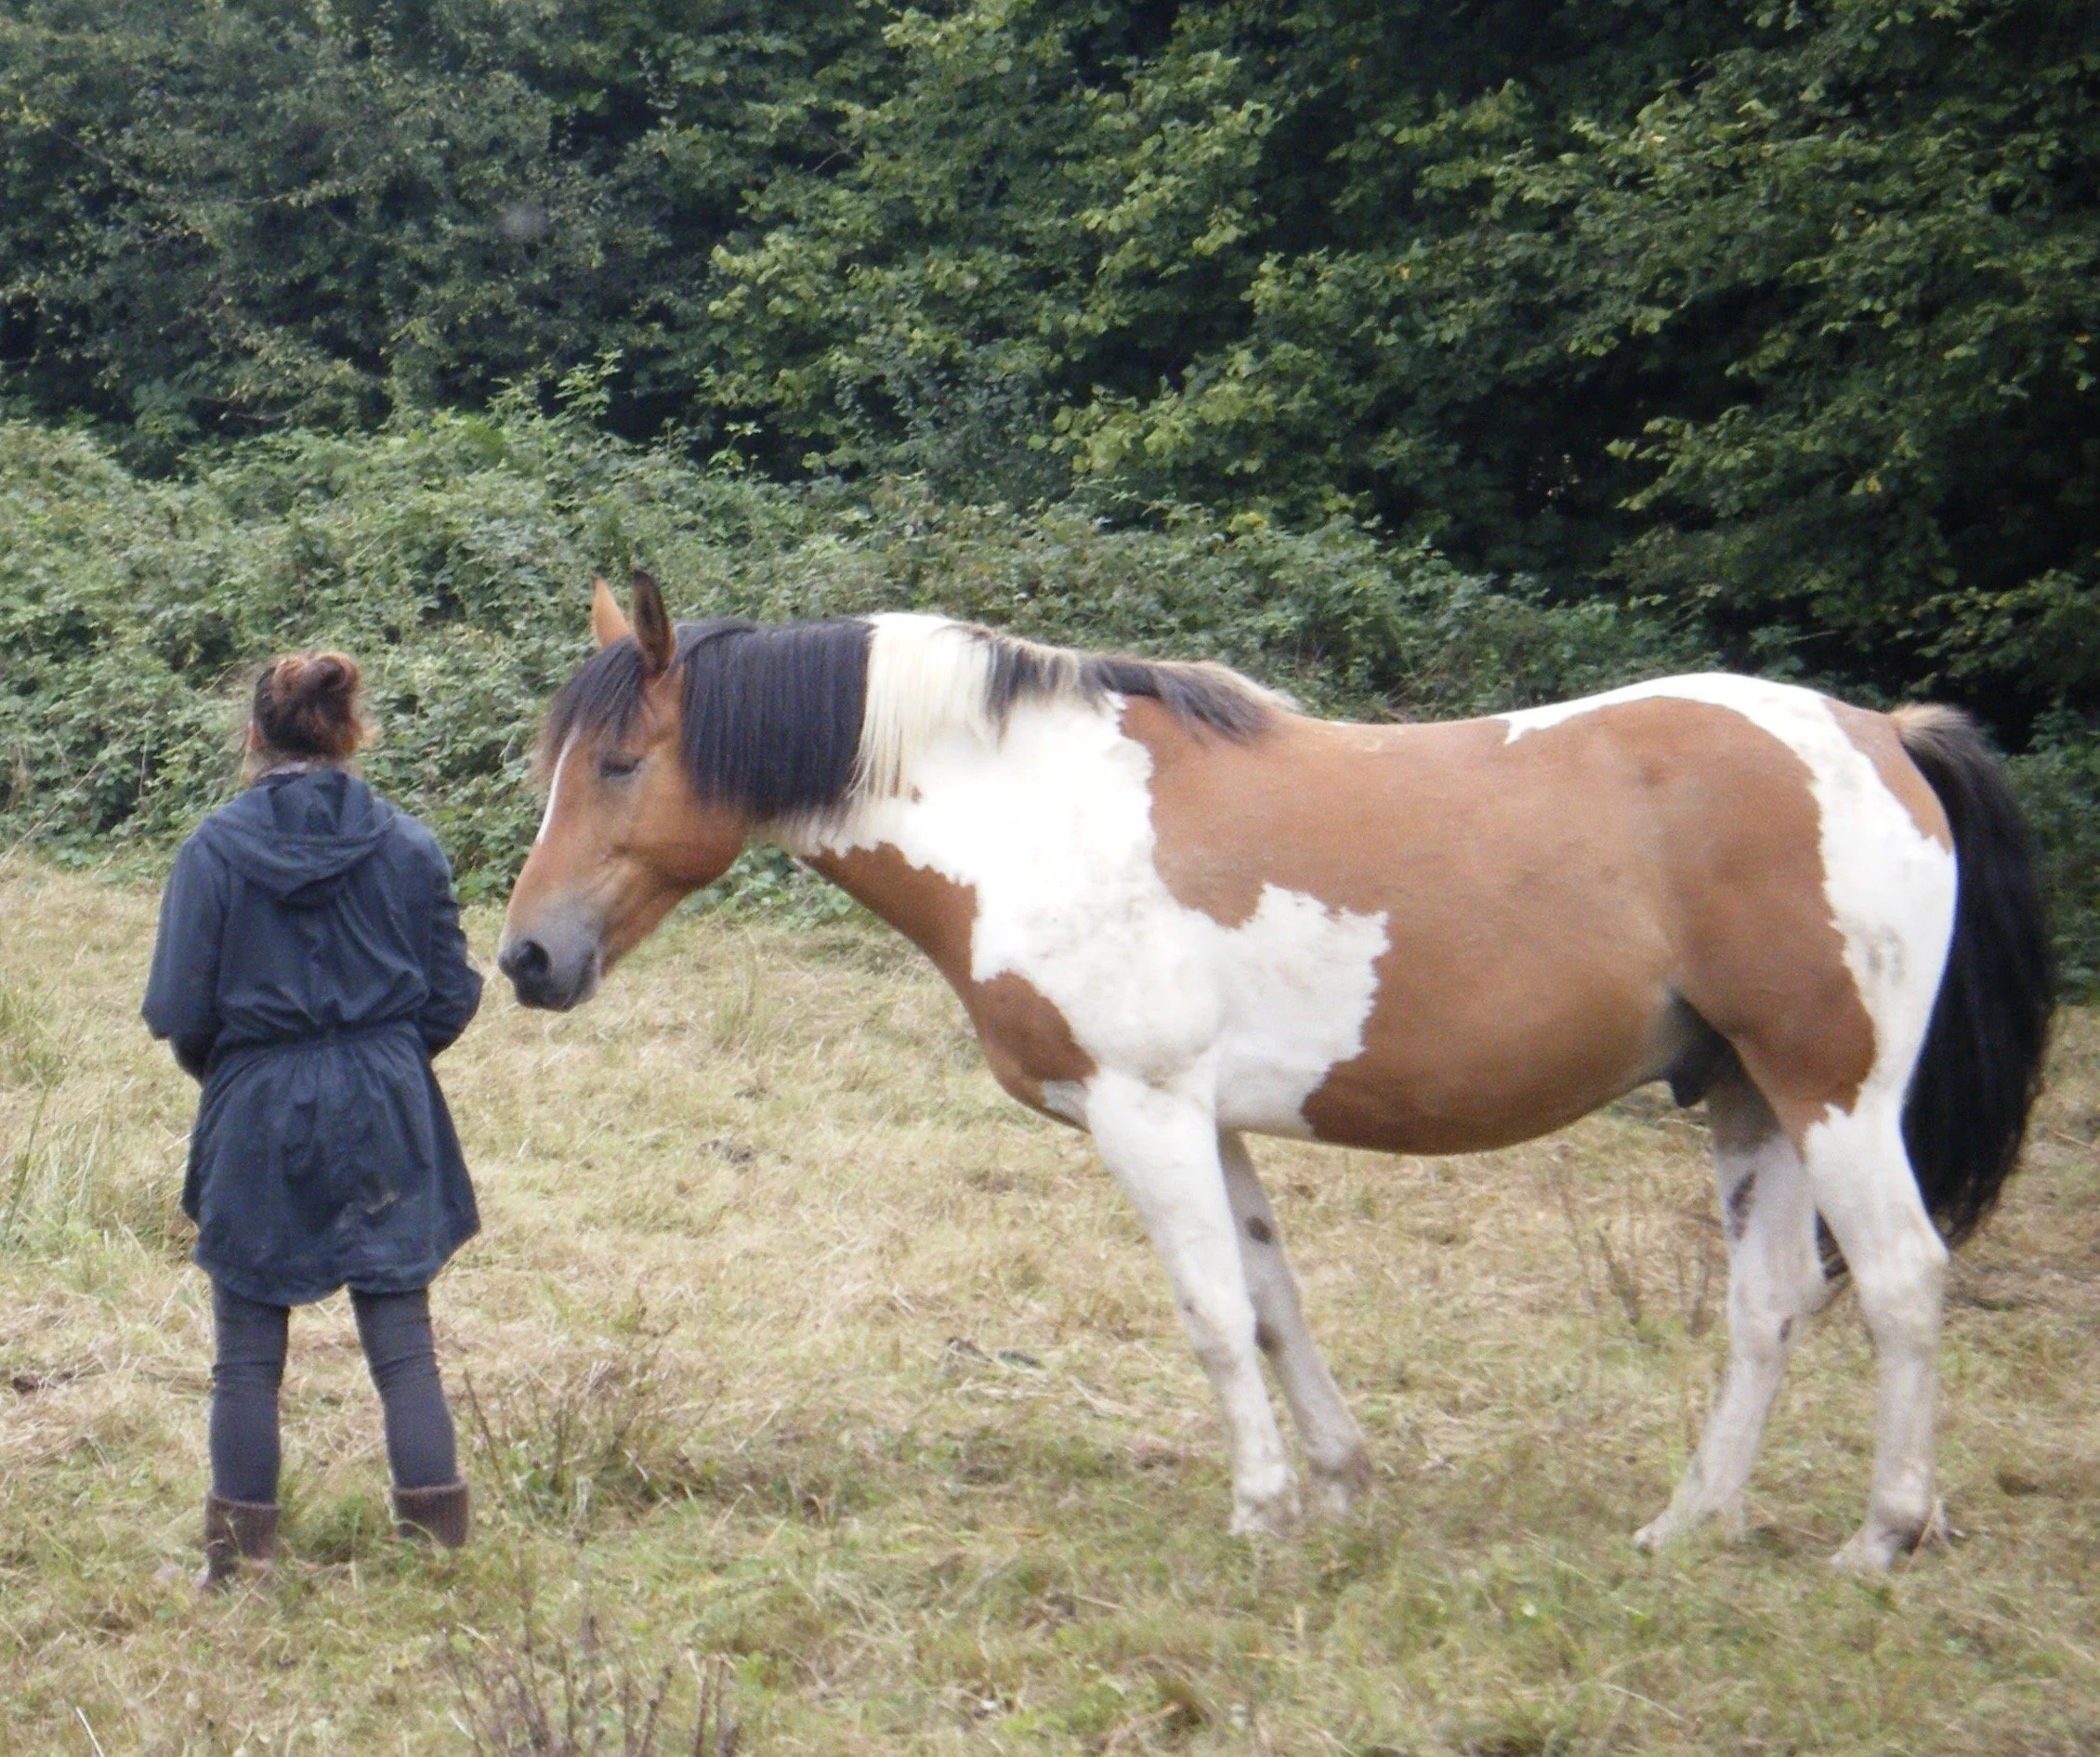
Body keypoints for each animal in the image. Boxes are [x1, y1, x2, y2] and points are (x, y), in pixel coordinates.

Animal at [498, 571, 2051, 1570]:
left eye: (623, 761)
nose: (525, 956)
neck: (1033, 814)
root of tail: (1882, 734)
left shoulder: (1144, 1111)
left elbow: (1206, 1311)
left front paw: (1258, 1509)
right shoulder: (1213, 1121)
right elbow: (1271, 1302)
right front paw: (1341, 1485)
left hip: (1835, 1091)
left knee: (1901, 1280)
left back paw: (1880, 1537)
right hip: (1748, 1098)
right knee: (1769, 1304)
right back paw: (1689, 1524)